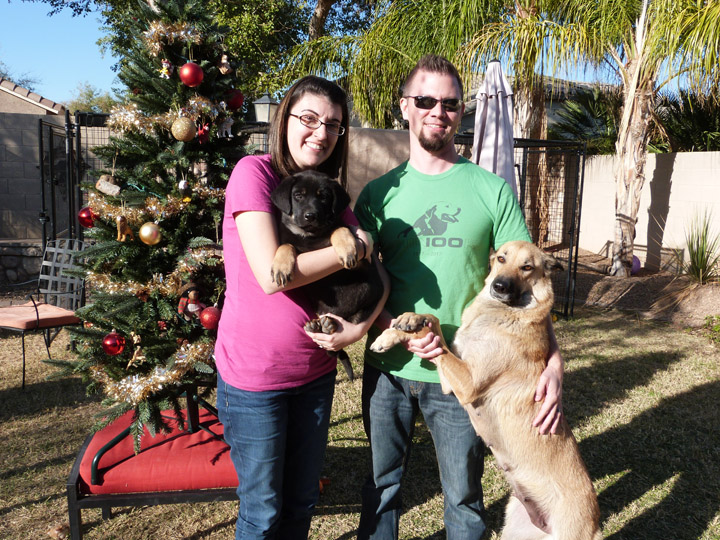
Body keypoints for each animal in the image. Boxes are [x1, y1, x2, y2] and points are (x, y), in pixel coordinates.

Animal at [268, 170, 382, 380]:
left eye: (324, 197)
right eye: (298, 195)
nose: (310, 215)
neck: (312, 236)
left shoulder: (363, 262)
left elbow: (340, 228)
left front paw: (347, 248)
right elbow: (286, 244)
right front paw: (281, 266)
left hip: (367, 295)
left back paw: (329, 326)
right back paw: (317, 326)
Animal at [372, 243, 600, 540]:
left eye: (527, 267)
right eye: (501, 258)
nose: (499, 285)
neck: (508, 313)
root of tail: (595, 522)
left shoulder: (466, 383)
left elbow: (432, 338)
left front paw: (401, 330)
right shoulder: (451, 378)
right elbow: (433, 321)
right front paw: (403, 323)